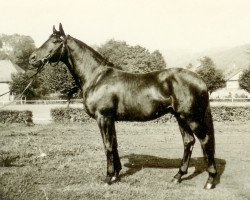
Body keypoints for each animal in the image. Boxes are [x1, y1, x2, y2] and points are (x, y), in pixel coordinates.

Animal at [28, 23, 217, 189]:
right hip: (180, 117)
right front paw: (116, 174)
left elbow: (108, 145)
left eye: (55, 41)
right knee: (188, 142)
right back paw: (178, 176)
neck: (96, 77)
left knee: (205, 141)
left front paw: (107, 177)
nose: (32, 58)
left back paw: (209, 181)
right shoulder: (110, 119)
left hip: (192, 117)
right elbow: (114, 144)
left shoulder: (103, 117)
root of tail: (200, 80)